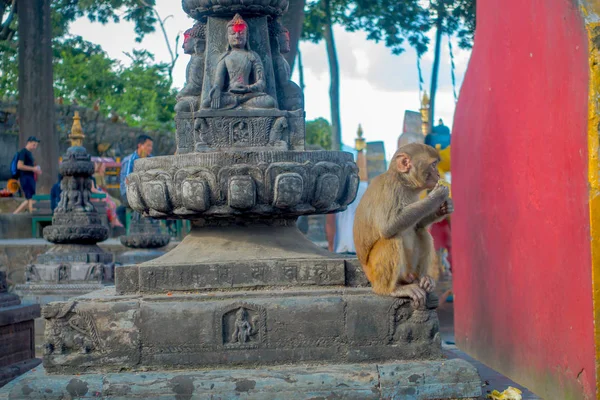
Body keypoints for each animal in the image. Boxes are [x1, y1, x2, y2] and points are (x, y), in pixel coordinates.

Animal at [352, 142, 454, 308]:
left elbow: (418, 224)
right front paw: (437, 196)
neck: (403, 182)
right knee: (392, 238)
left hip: (408, 270)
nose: (438, 175)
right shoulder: (390, 190)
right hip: (376, 274)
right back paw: (392, 290)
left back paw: (423, 280)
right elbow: (388, 227)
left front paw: (444, 208)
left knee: (422, 232)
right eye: (433, 165)